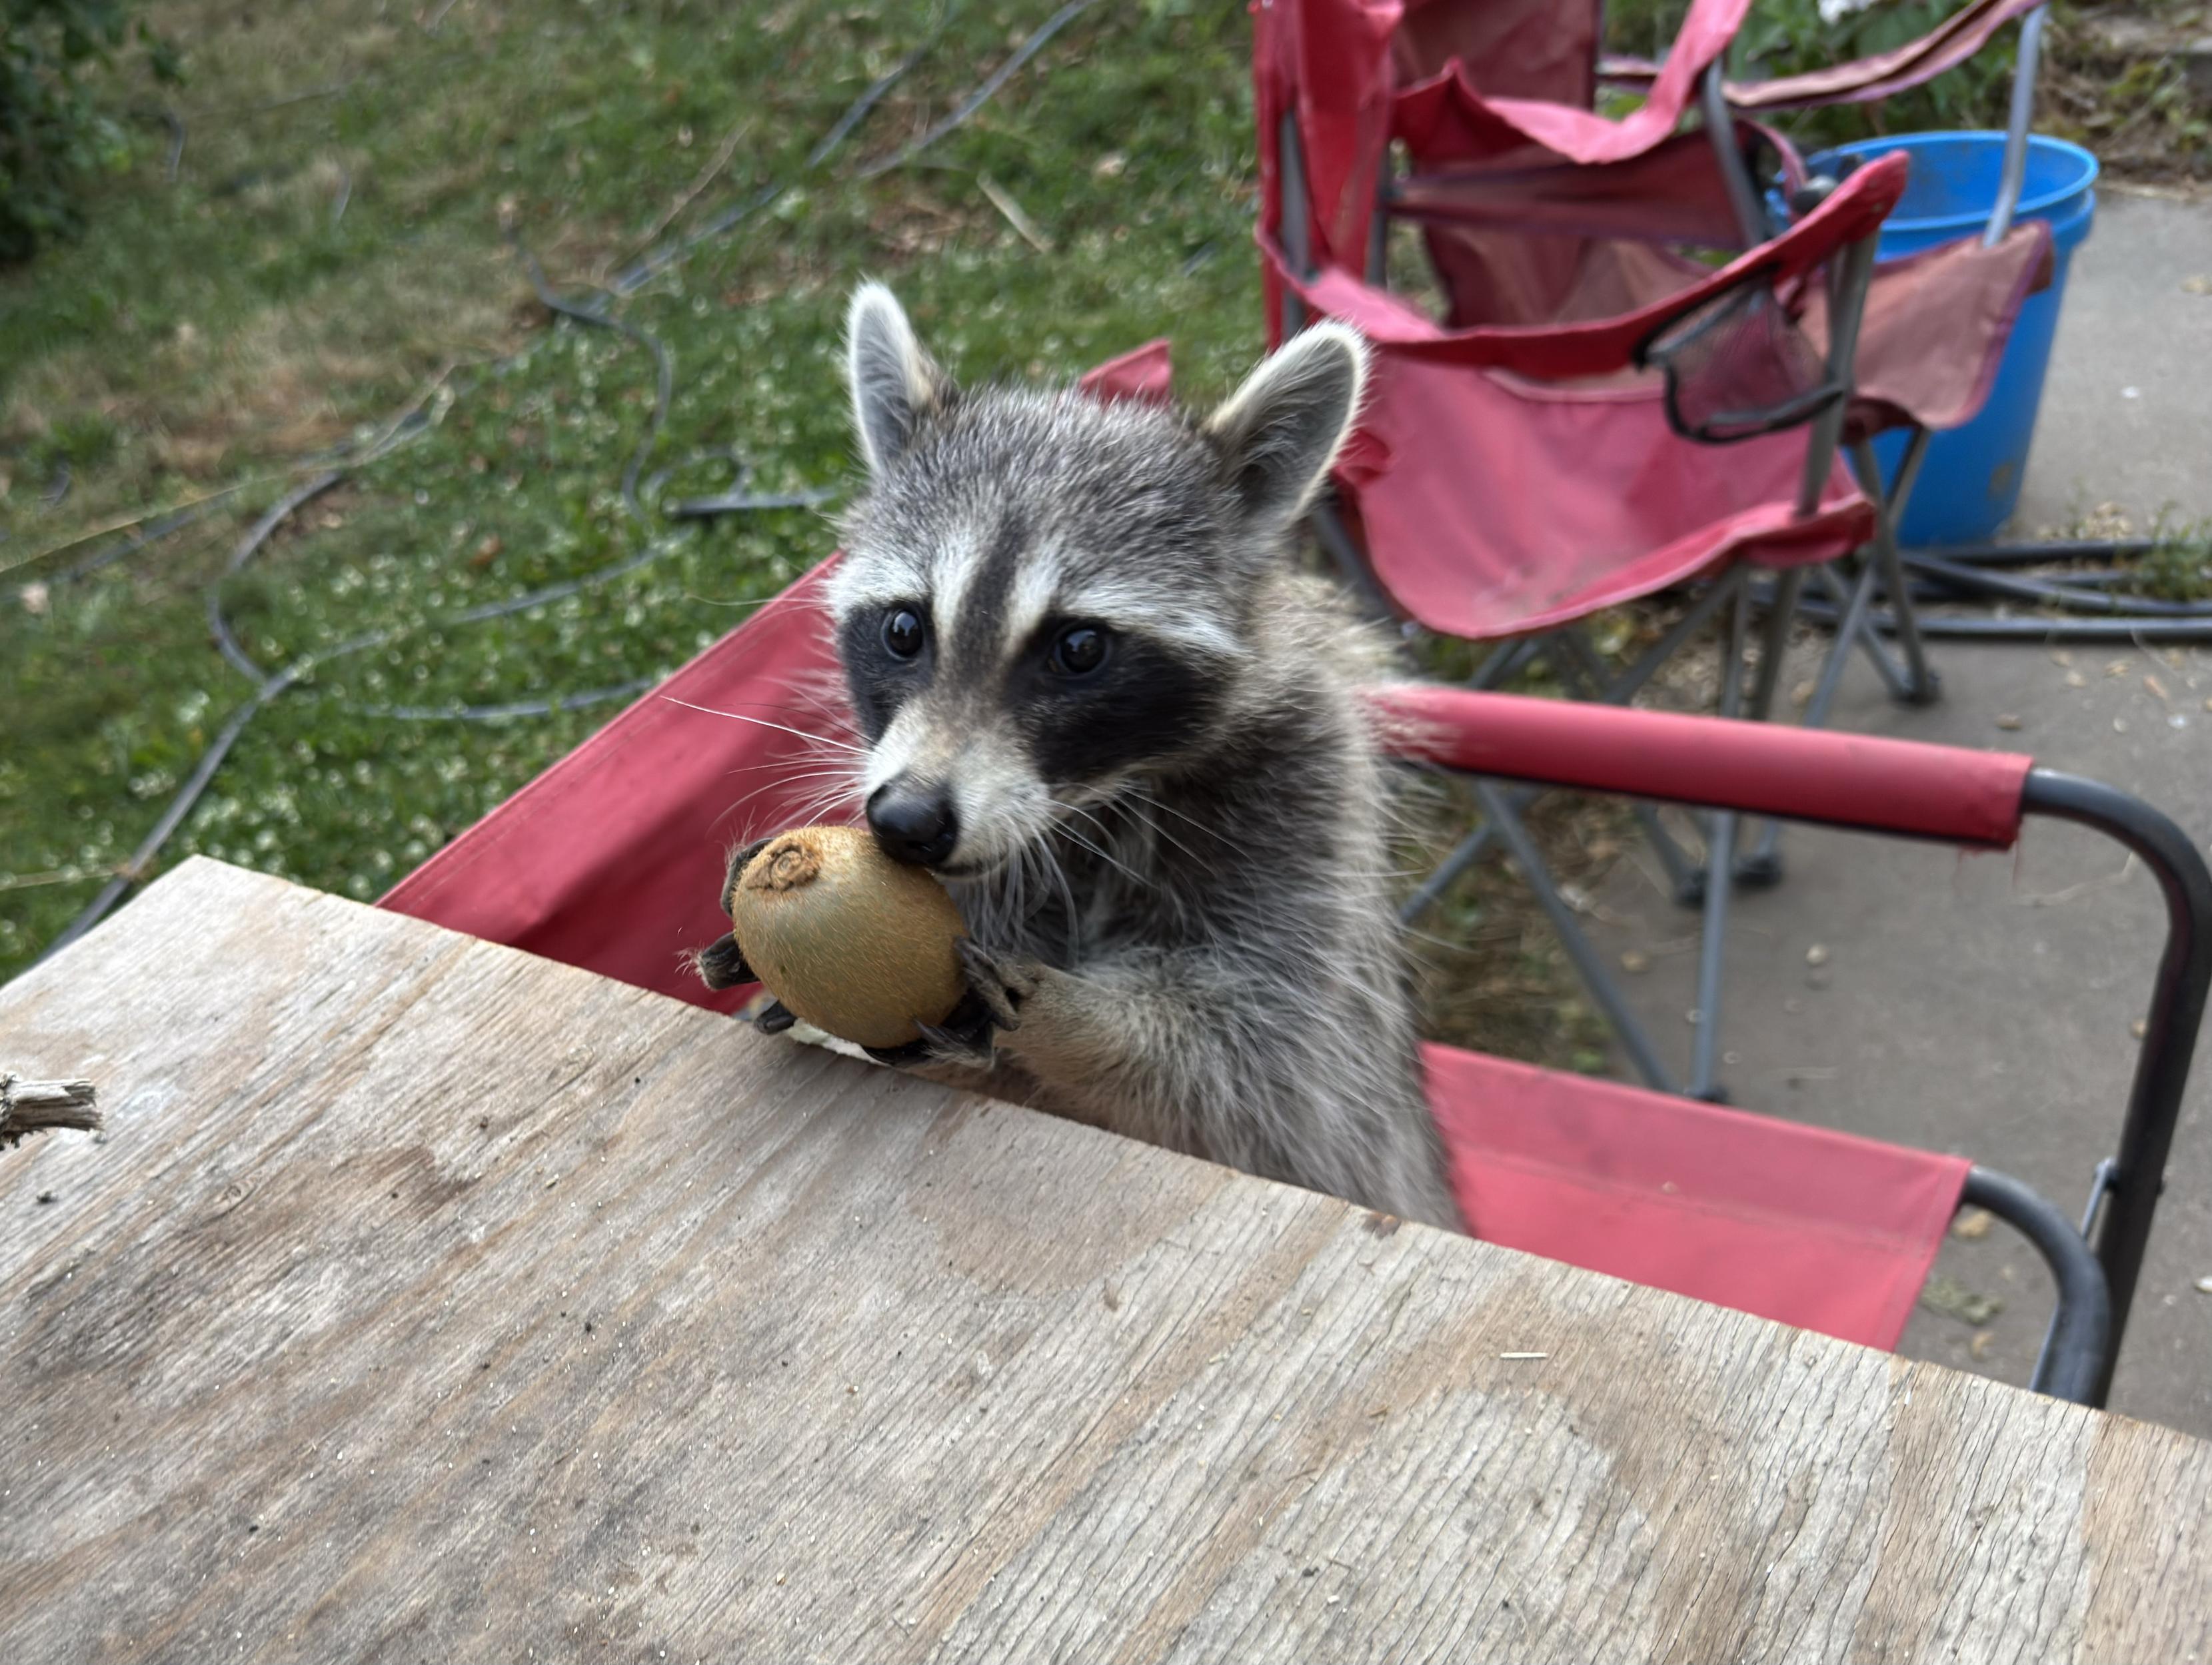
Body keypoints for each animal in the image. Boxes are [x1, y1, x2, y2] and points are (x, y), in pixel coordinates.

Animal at [701, 283, 1463, 1233]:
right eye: (904, 628)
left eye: (1079, 648)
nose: (906, 823)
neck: (1088, 805)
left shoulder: (1303, 798)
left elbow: (1250, 1071)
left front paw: (1075, 1019)